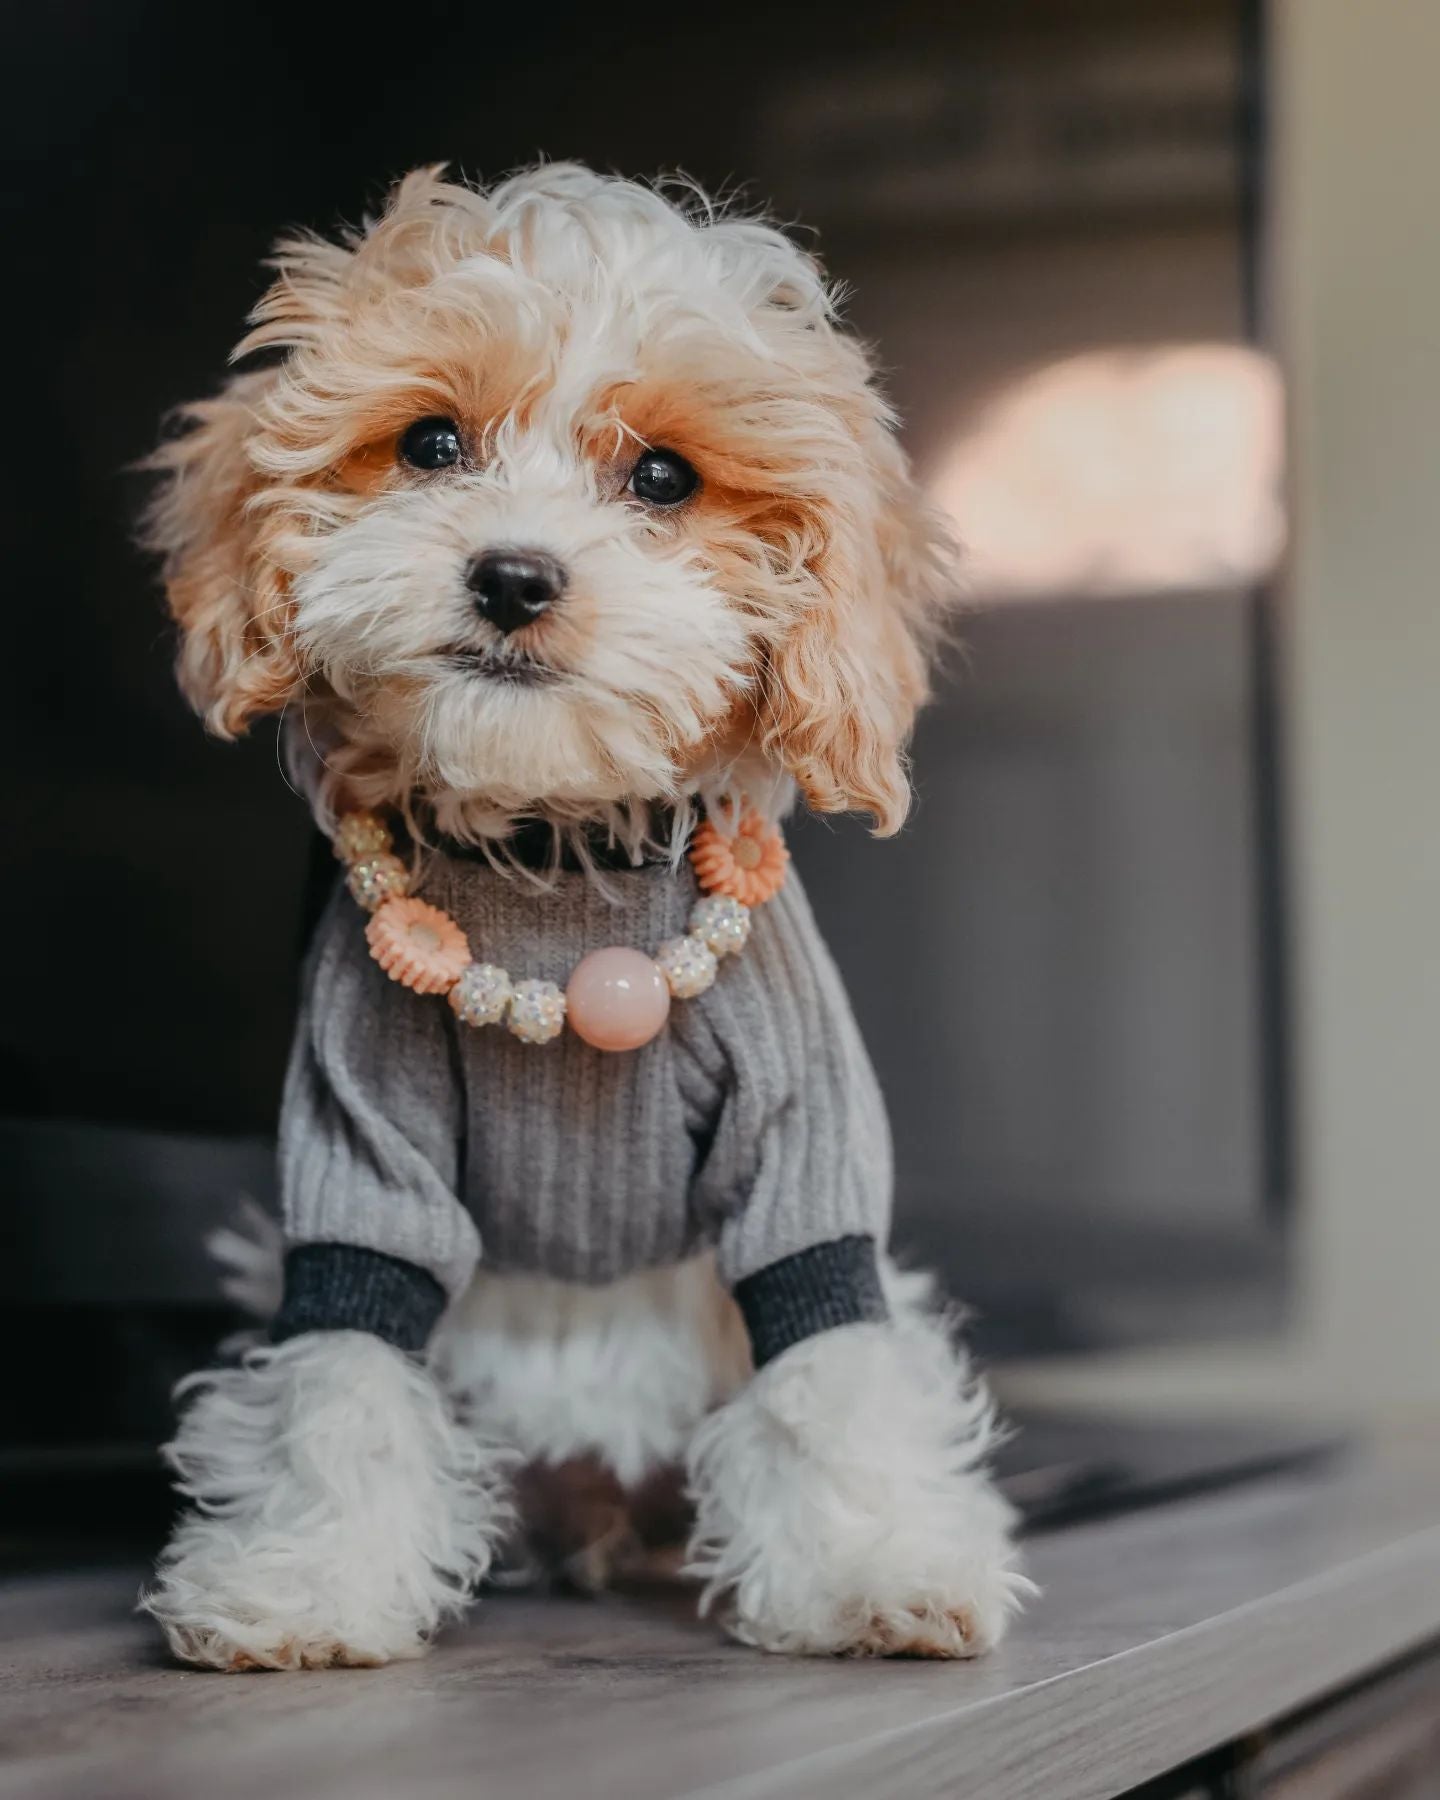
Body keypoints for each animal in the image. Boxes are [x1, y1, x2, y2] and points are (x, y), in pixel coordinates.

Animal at [137, 162, 1036, 1663]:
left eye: (663, 476)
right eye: (431, 443)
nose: (513, 575)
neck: (554, 868)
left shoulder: (804, 1129)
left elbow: (830, 1350)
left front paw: (871, 1566)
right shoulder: (356, 1132)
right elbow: (343, 1367)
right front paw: (310, 1580)